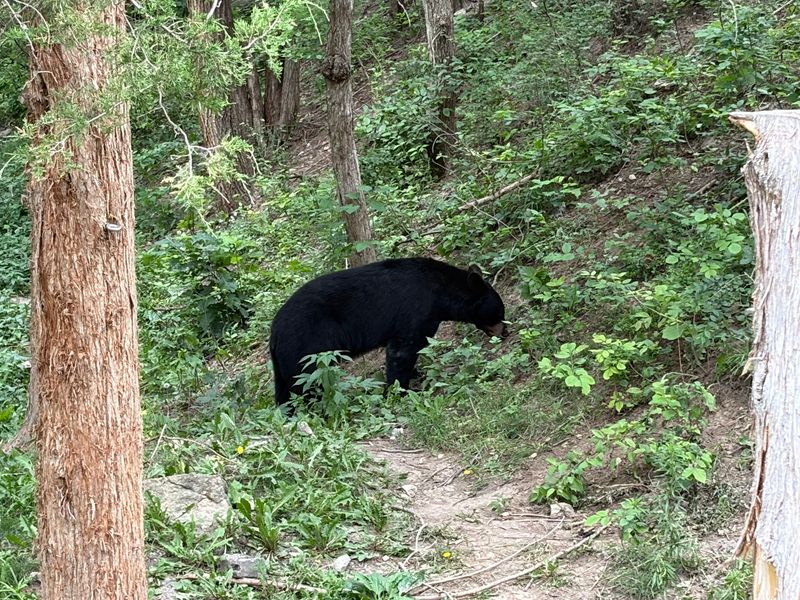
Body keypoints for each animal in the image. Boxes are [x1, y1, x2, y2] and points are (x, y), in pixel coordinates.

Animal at [269, 257, 508, 407]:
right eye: (500, 312)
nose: (505, 332)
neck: (440, 291)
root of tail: (275, 332)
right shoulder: (415, 312)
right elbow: (402, 352)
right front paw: (400, 391)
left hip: (284, 359)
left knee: (284, 389)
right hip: (309, 346)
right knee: (306, 383)